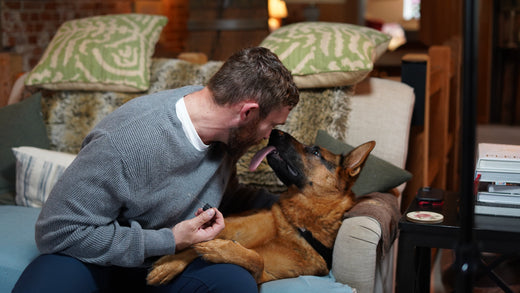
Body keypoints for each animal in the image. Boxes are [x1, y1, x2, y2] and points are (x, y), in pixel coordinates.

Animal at [146, 129, 374, 282]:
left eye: (316, 152)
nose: (274, 131)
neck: (297, 224)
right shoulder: (232, 227)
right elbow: (193, 246)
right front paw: (170, 263)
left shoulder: (265, 275)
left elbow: (257, 260)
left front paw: (218, 250)